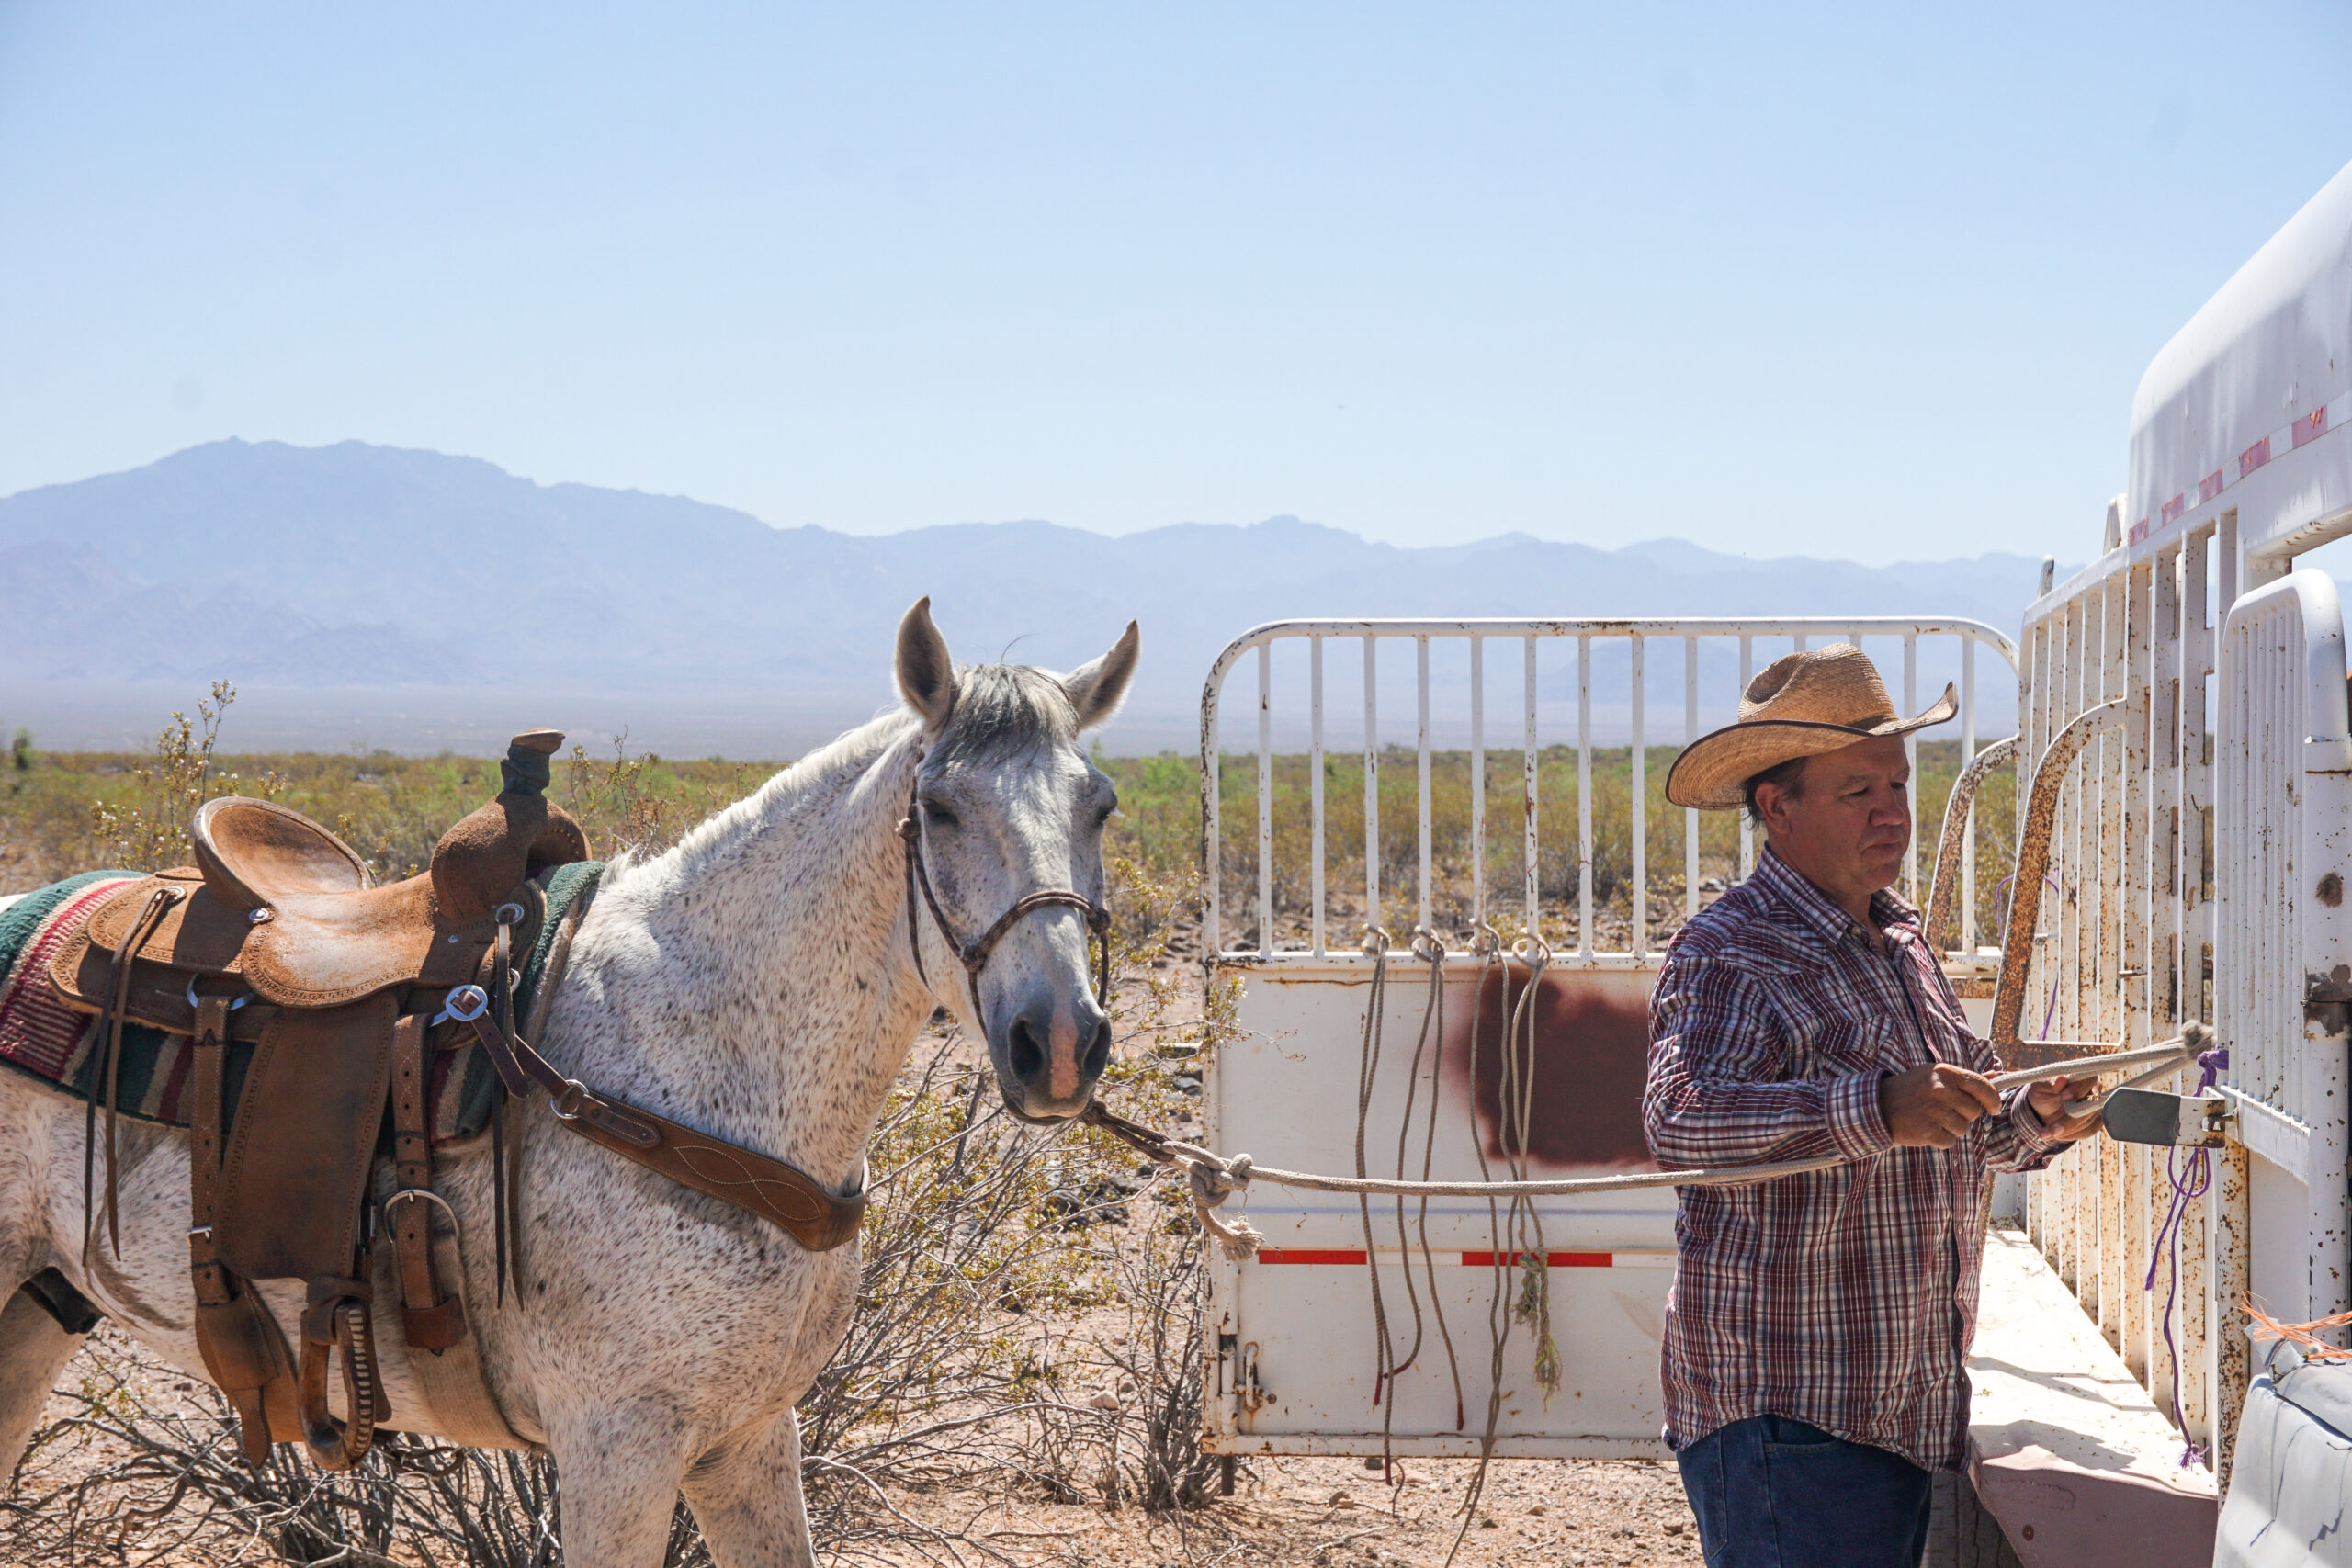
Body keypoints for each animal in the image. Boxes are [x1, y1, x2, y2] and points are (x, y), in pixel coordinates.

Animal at [0, 597, 1138, 1568]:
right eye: (939, 808)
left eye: (1102, 806)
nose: (1058, 1042)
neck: (694, 1058)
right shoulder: (617, 1448)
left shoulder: (748, 1438)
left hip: (40, 1312)